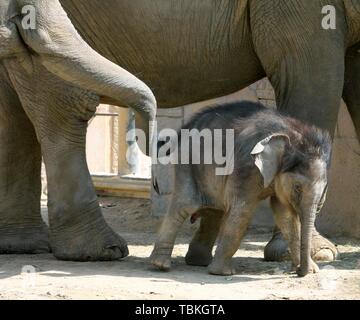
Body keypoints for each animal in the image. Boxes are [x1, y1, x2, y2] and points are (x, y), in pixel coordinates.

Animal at [150, 101, 332, 276]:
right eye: (297, 188)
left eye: (324, 190)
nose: (298, 272)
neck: (291, 135)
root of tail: (184, 128)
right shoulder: (247, 165)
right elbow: (243, 210)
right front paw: (222, 273)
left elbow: (285, 215)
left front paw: (312, 271)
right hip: (188, 163)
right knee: (185, 205)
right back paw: (161, 265)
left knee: (214, 211)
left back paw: (199, 262)